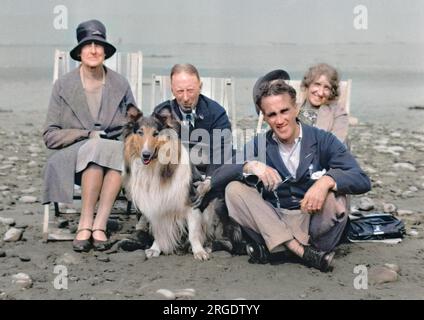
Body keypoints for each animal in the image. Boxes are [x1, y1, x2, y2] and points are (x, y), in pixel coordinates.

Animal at [121, 109, 215, 258]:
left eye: (156, 133)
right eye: (140, 132)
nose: (146, 155)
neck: (155, 167)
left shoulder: (192, 202)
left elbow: (194, 233)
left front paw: (199, 251)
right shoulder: (154, 205)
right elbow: (159, 232)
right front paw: (155, 249)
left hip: (208, 210)